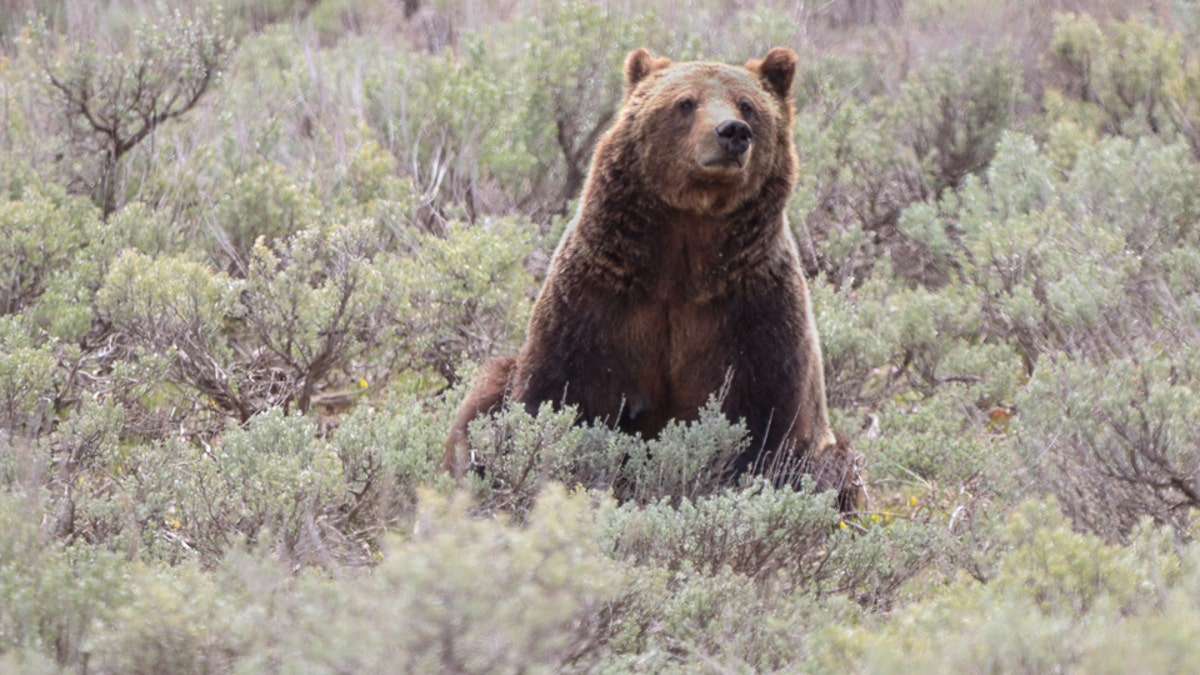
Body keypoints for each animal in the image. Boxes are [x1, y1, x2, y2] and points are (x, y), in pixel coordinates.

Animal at [446, 45, 868, 509]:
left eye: (748, 106)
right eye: (685, 102)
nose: (732, 132)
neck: (683, 256)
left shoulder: (752, 308)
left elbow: (763, 418)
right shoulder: (600, 298)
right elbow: (560, 395)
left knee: (838, 465)